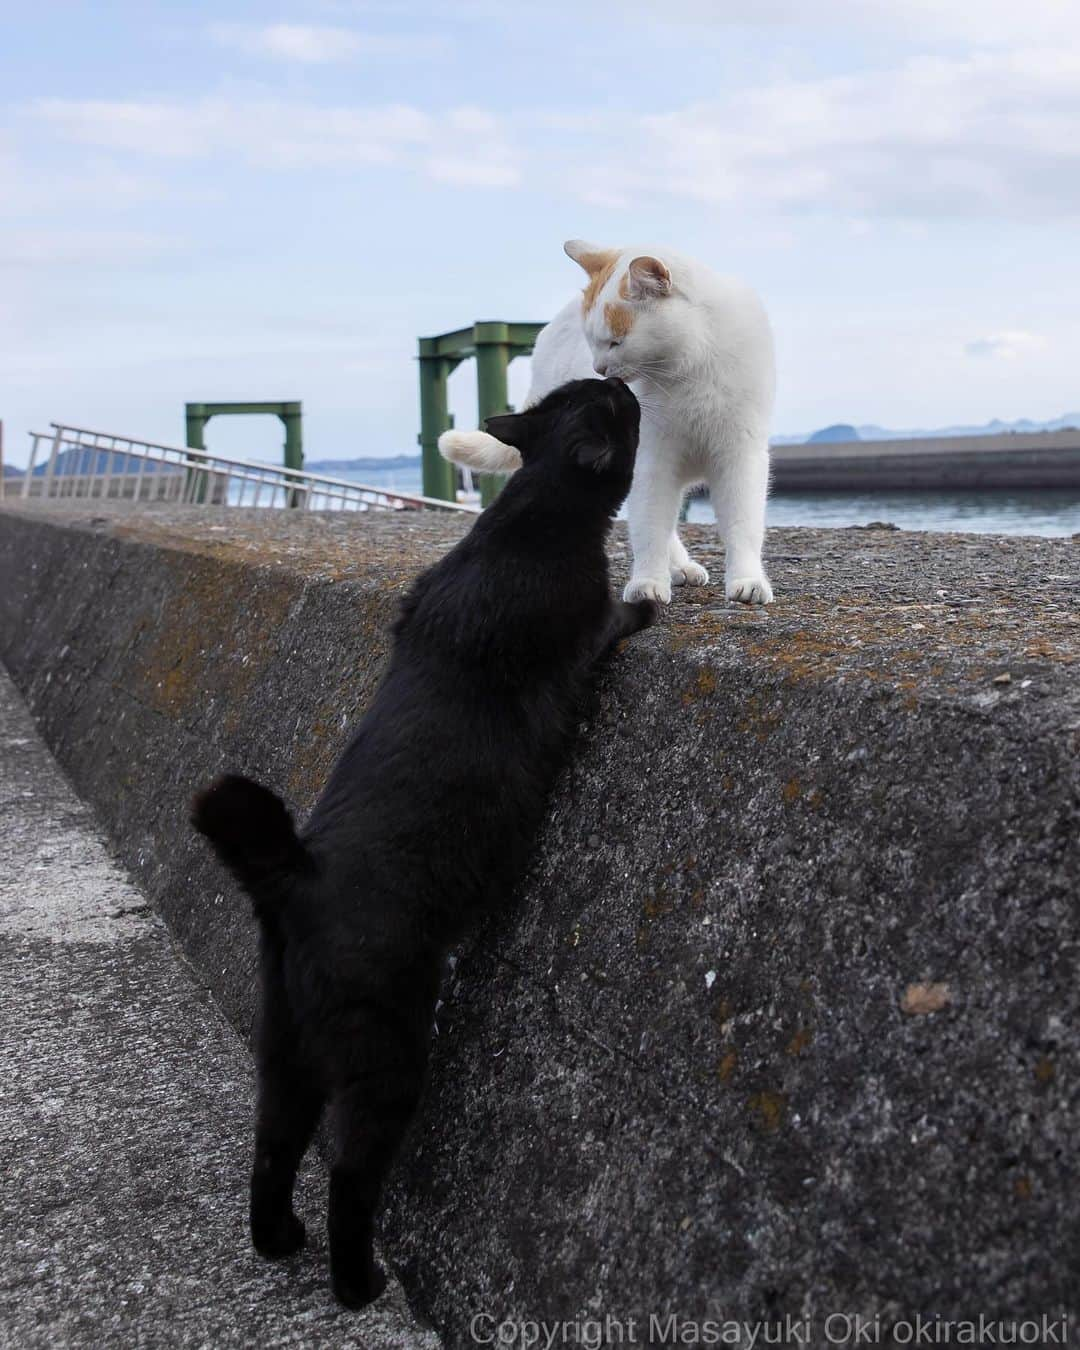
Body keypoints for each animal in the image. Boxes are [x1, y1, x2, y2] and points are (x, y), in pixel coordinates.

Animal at [190, 378, 653, 1306]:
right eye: (614, 403)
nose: (624, 379)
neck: (524, 517)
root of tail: (295, 878)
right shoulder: (583, 631)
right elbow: (617, 617)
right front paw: (654, 602)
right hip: (387, 1053)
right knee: (348, 1174)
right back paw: (356, 1282)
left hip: (285, 1052)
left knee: (271, 1150)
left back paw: (280, 1242)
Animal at [437, 240, 777, 604]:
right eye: (593, 342)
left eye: (616, 341)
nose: (599, 369)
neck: (689, 368)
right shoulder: (651, 460)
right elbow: (649, 524)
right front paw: (649, 581)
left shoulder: (741, 456)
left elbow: (742, 524)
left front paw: (747, 578)